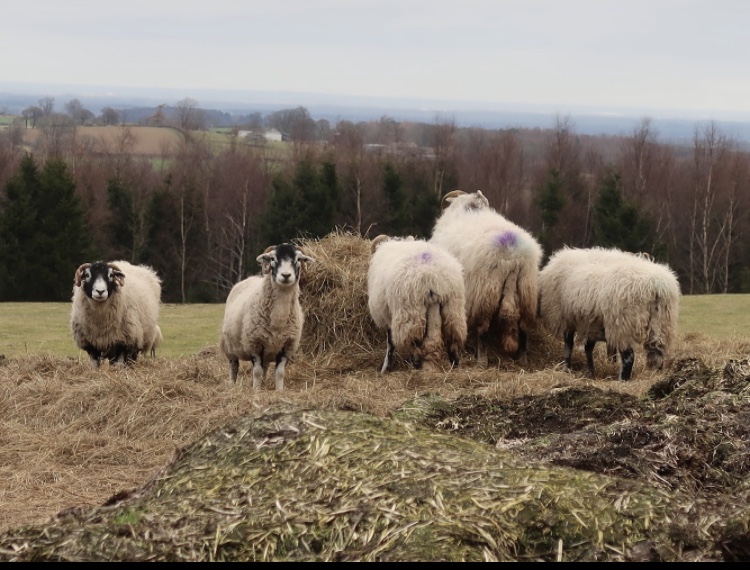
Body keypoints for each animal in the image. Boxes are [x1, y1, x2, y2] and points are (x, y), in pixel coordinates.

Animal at [219, 243, 315, 389]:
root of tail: (250, 278)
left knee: (265, 368)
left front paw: (279, 391)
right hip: (230, 347)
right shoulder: (255, 344)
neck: (279, 319)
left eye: (298, 259)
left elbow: (280, 373)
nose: (286, 275)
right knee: (234, 367)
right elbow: (257, 372)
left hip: (268, 351)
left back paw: (263, 383)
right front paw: (256, 391)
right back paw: (232, 385)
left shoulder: (286, 346)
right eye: (272, 259)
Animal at [367, 234, 468, 373]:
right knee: (453, 341)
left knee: (414, 343)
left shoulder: (389, 316)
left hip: (410, 313)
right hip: (453, 310)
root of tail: (433, 277)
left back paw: (416, 366)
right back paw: (454, 366)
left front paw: (385, 368)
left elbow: (390, 343)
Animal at [429, 190, 543, 367]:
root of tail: (513, 258)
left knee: (483, 328)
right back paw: (522, 358)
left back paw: (482, 359)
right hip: (527, 289)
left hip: (485, 291)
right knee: (524, 327)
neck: (469, 209)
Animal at [538, 246, 680, 380]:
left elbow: (568, 346)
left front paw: (566, 368)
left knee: (629, 356)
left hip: (624, 323)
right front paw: (590, 372)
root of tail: (656, 285)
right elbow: (588, 348)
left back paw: (622, 380)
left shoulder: (566, 318)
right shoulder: (592, 322)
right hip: (662, 320)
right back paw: (656, 375)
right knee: (658, 351)